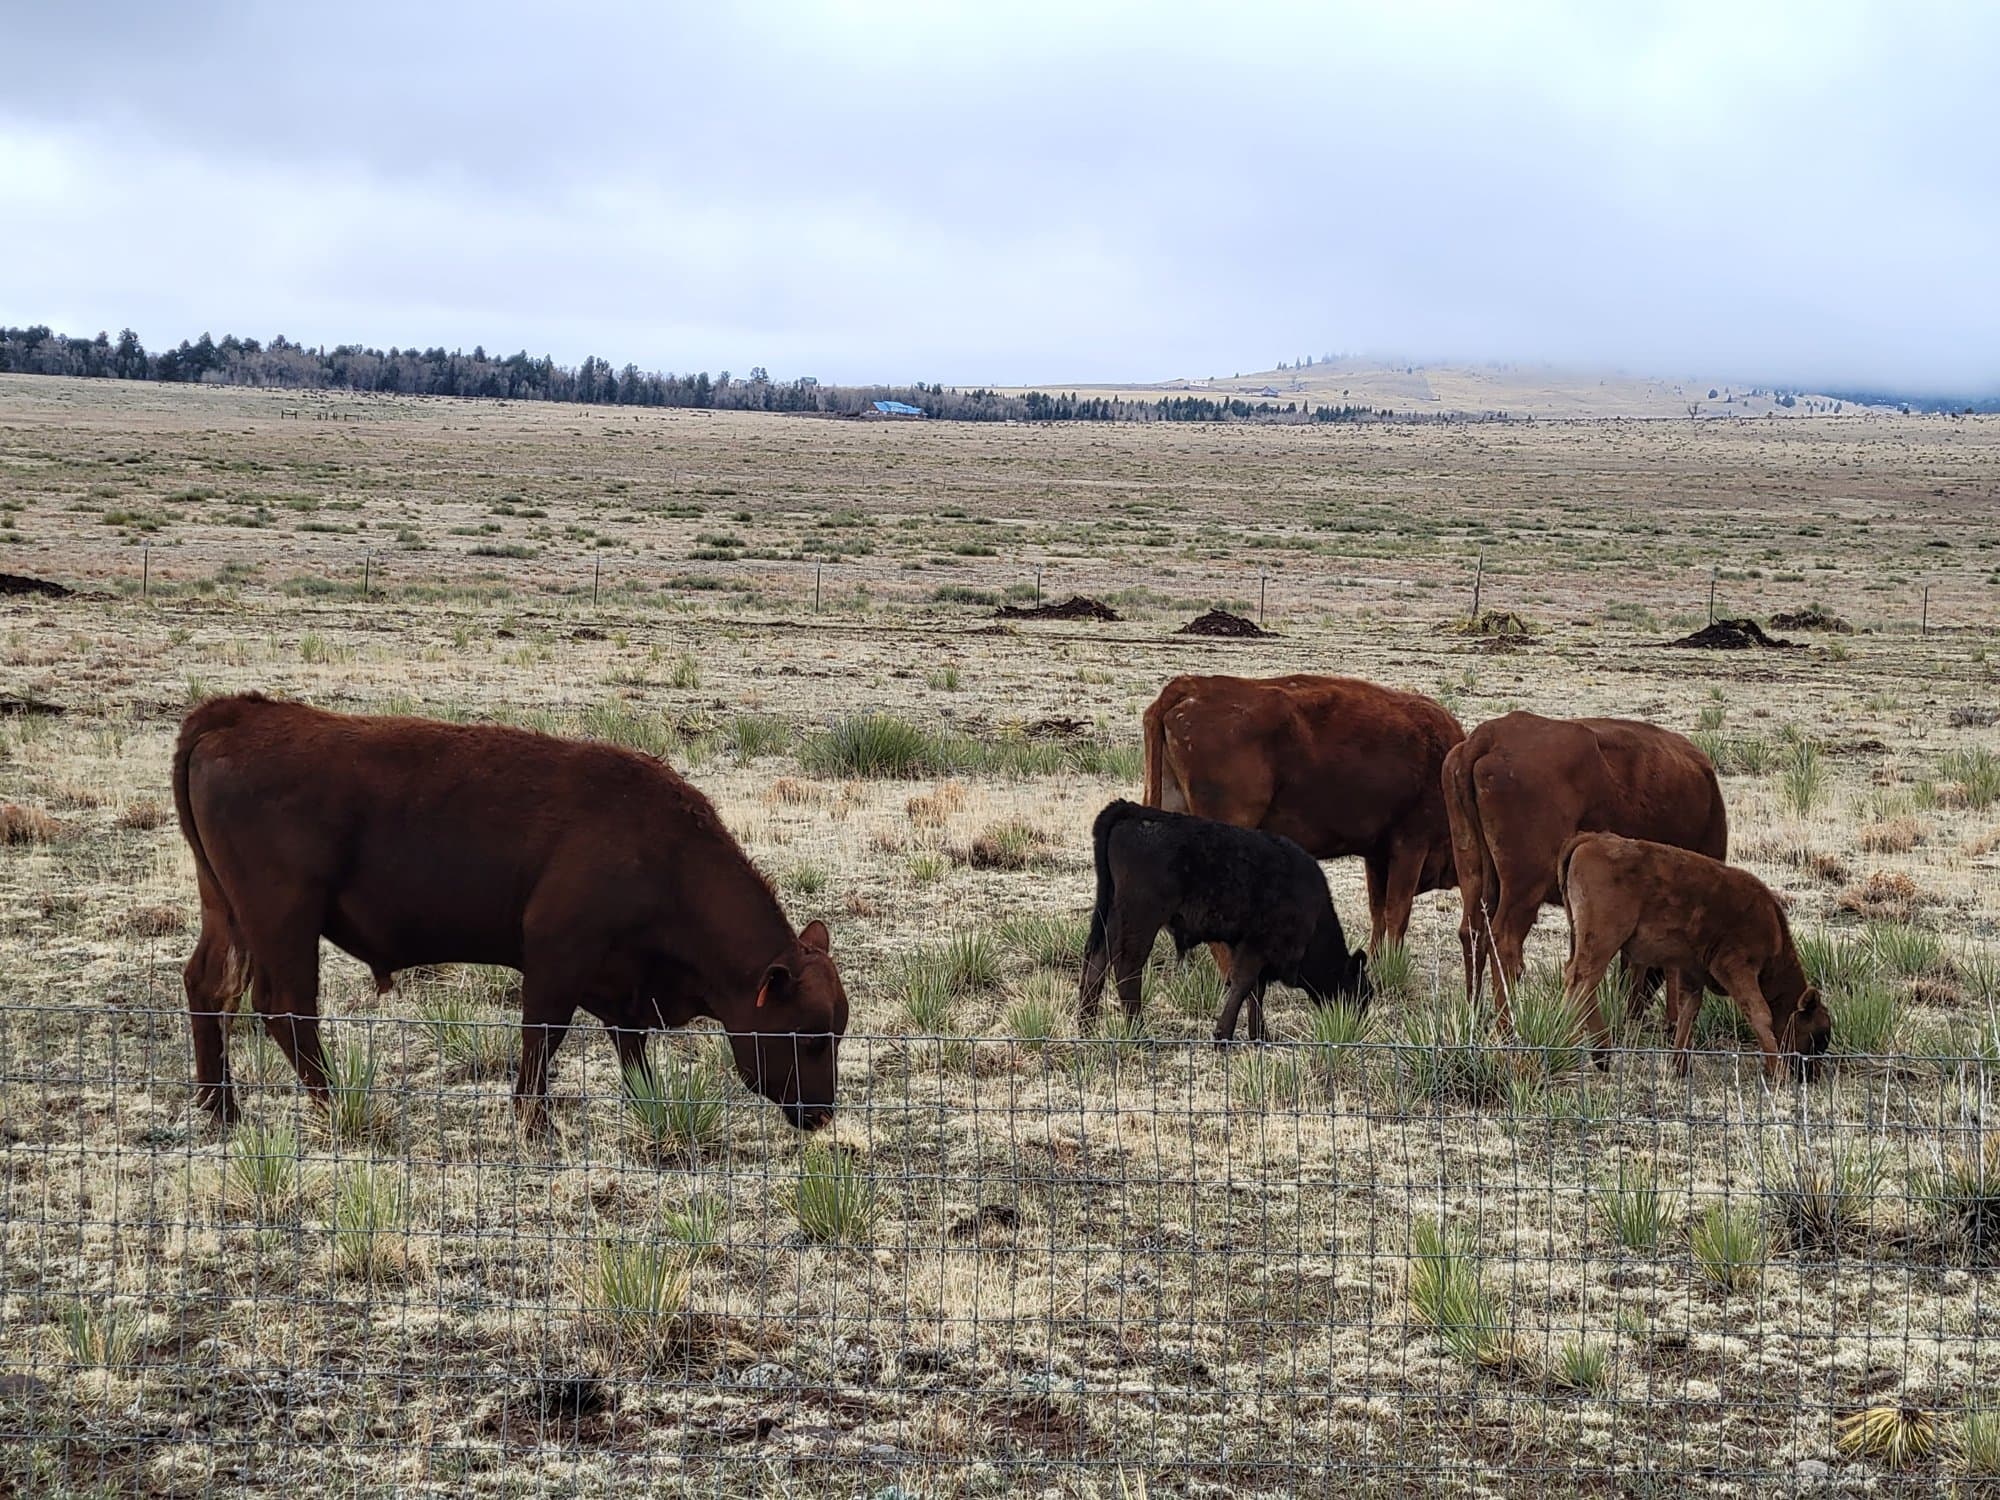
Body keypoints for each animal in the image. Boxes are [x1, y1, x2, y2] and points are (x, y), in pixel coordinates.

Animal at [172, 694, 848, 1132]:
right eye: (811, 1034)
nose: (821, 1115)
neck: (663, 852)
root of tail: (236, 714)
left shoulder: (620, 985)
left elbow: (630, 1050)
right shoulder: (556, 956)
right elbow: (542, 1038)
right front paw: (536, 1122)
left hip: (227, 911)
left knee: (209, 986)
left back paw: (221, 1109)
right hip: (284, 919)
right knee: (286, 1007)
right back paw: (334, 1107)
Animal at [1077, 800, 1370, 1043]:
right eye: (1361, 994)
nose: (1356, 1028)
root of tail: (1133, 811)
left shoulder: (1245, 946)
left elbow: (1255, 990)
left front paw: (1259, 1036)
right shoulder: (1257, 945)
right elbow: (1243, 983)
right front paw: (1224, 1035)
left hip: (1112, 916)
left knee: (1097, 960)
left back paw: (1086, 1027)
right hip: (1140, 920)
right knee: (1127, 966)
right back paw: (1138, 1033)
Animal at [1441, 711, 1727, 1029]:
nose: (1639, 1012)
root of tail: (1489, 736)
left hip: (1473, 872)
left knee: (1473, 932)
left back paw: (1475, 1015)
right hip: (1525, 887)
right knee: (1504, 942)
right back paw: (1508, 1027)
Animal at [1558, 833, 1831, 1081]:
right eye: (1817, 1035)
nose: (1813, 1075)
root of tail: (1593, 839)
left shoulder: (1693, 971)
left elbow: (1689, 1010)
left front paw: (1680, 1065)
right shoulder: (1735, 967)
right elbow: (1759, 1013)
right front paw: (1778, 1073)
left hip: (1582, 939)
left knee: (1582, 982)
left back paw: (1602, 1055)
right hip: (1602, 940)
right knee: (1581, 982)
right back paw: (1570, 1043)